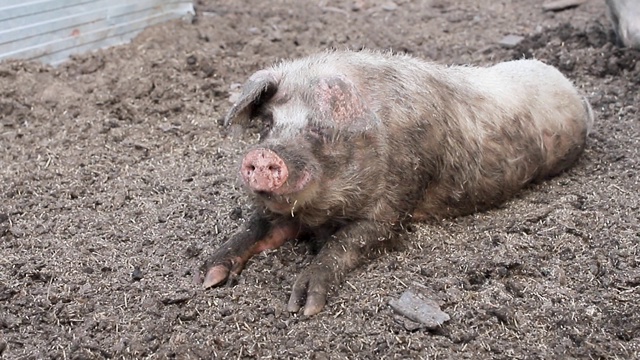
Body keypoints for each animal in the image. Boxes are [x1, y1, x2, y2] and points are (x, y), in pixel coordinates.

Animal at [199, 50, 596, 316]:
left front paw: (302, 306)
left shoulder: (397, 202)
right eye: (268, 125)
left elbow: (348, 242)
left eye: (319, 130)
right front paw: (208, 276)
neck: (320, 214)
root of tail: (573, 88)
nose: (263, 155)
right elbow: (253, 228)